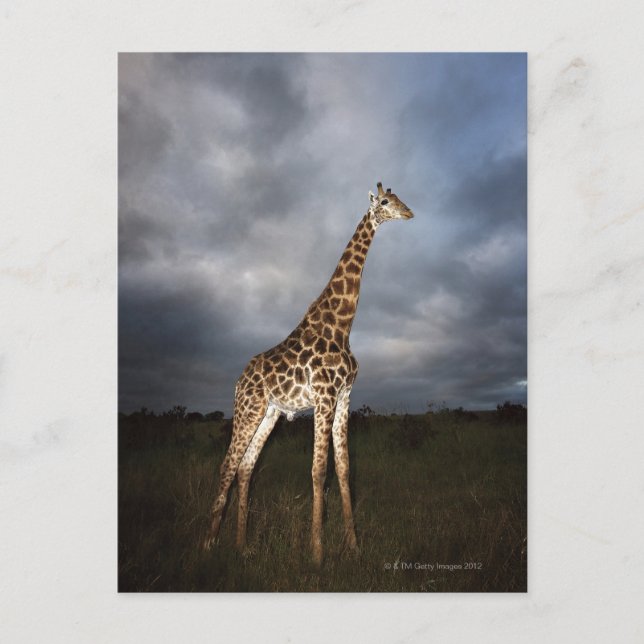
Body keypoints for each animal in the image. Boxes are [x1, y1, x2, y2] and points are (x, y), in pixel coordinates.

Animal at [203, 182, 414, 566]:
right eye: (385, 202)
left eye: (399, 198)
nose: (409, 212)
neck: (342, 324)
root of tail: (239, 380)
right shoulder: (323, 397)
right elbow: (318, 470)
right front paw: (317, 553)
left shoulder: (344, 397)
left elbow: (344, 468)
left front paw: (353, 546)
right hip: (247, 409)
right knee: (227, 465)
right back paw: (209, 544)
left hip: (269, 413)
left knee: (246, 467)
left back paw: (242, 546)